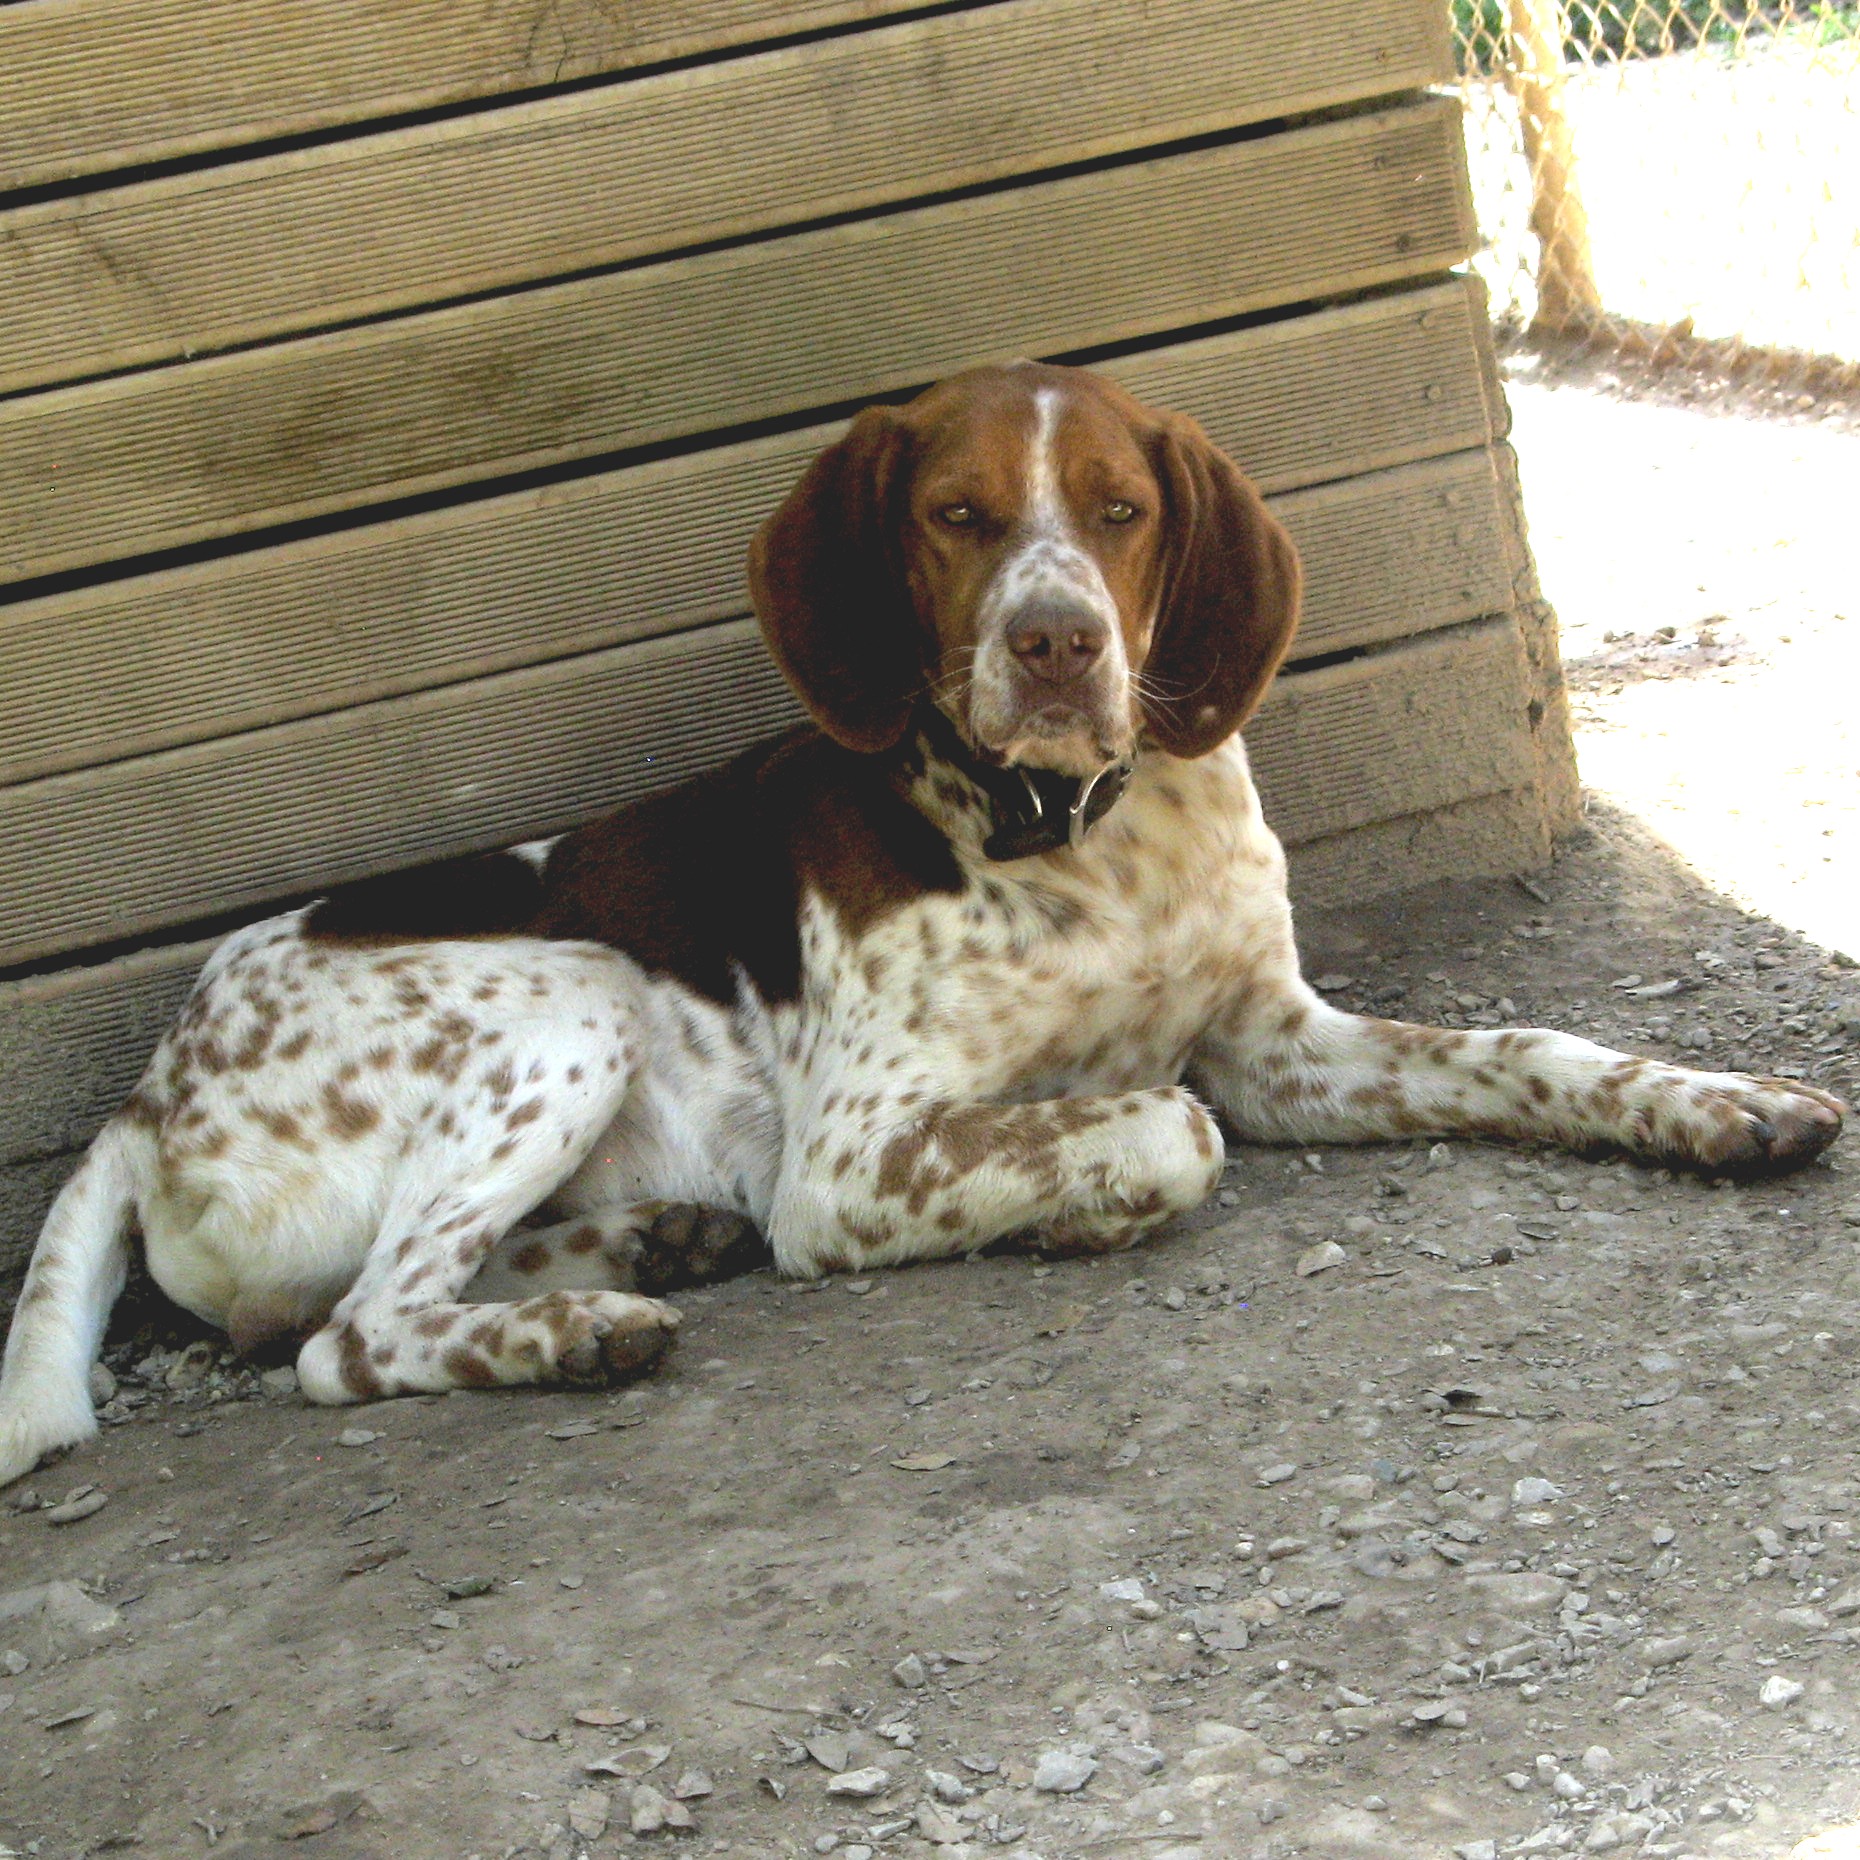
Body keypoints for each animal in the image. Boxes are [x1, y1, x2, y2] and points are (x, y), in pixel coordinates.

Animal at [0, 362, 1837, 1488]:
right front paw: (1077, 1205)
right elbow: (1156, 1127)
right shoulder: (854, 1157)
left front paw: (1717, 1102)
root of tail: (141, 1097)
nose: (1055, 644)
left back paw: (649, 1247)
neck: (1086, 834)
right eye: (957, 515)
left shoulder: (1280, 1040)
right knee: (349, 1340)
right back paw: (580, 1327)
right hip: (572, 990)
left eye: (1120, 510)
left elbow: (1533, 1047)